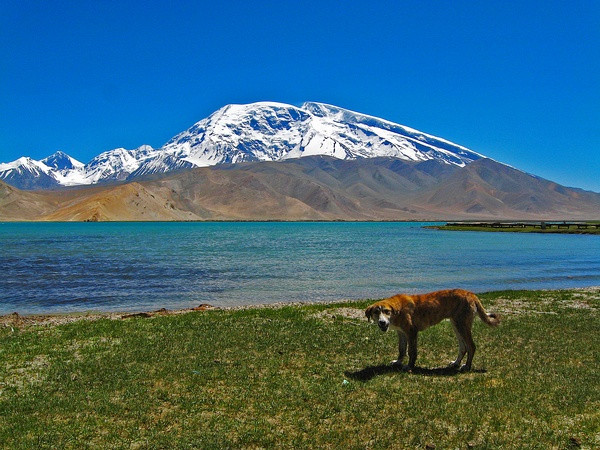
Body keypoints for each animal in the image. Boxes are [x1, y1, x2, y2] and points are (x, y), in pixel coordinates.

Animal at [364, 290, 500, 370]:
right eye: (376, 312)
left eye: (387, 311)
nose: (382, 322)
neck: (398, 309)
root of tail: (471, 294)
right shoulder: (401, 333)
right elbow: (401, 350)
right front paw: (398, 362)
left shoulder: (411, 332)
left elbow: (411, 352)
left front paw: (409, 366)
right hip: (456, 325)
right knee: (463, 347)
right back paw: (456, 363)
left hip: (462, 325)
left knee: (471, 346)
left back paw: (467, 366)